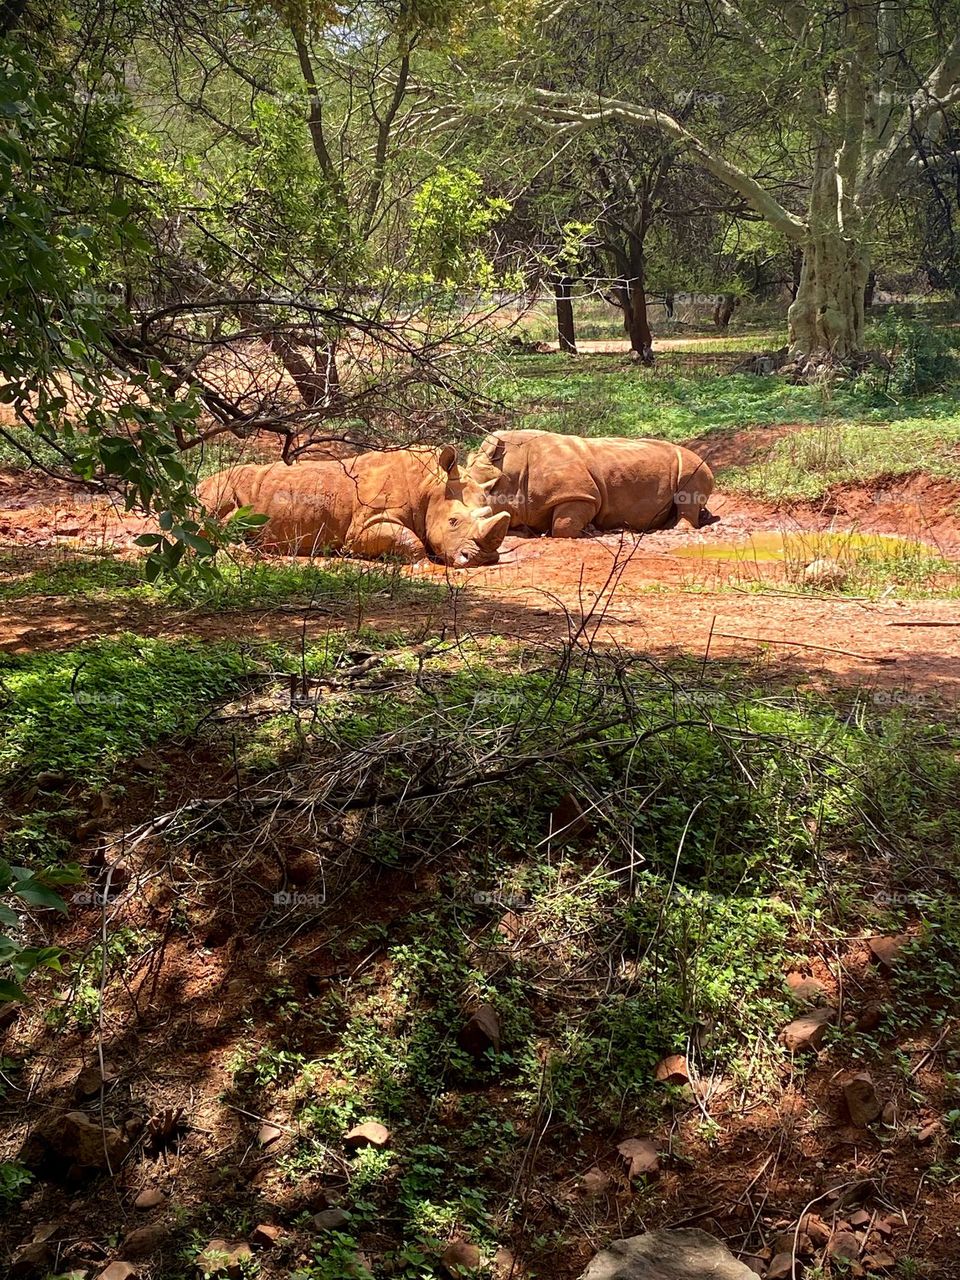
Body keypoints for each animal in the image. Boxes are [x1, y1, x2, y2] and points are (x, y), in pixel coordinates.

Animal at [198, 446, 510, 566]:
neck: (430, 485)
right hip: (212, 488)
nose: (483, 559)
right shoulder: (361, 529)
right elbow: (409, 539)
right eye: (453, 522)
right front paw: (421, 563)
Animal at [464, 429, 715, 537]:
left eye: (489, 491)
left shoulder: (580, 495)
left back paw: (674, 529)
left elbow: (563, 526)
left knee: (688, 487)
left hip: (695, 463)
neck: (508, 473)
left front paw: (590, 530)